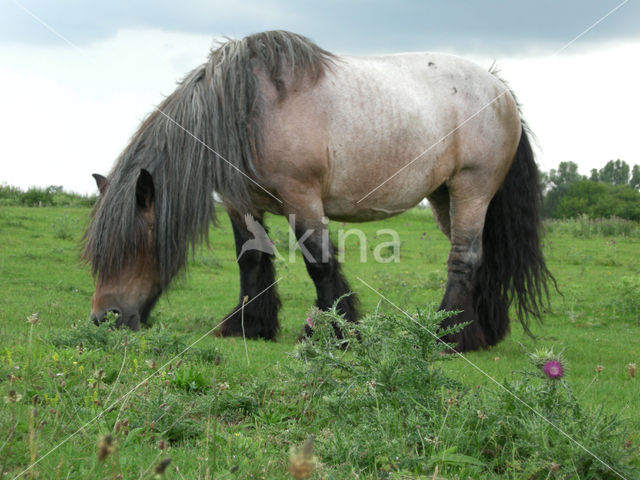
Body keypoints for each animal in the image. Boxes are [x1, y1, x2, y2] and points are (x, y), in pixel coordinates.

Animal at [84, 31, 556, 352]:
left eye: (132, 245)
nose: (104, 319)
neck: (248, 111)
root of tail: (499, 89)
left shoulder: (302, 199)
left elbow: (320, 264)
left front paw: (340, 333)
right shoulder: (242, 204)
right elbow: (251, 261)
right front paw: (248, 326)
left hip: (471, 188)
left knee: (464, 258)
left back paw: (446, 336)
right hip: (445, 197)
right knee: (483, 257)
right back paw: (482, 333)